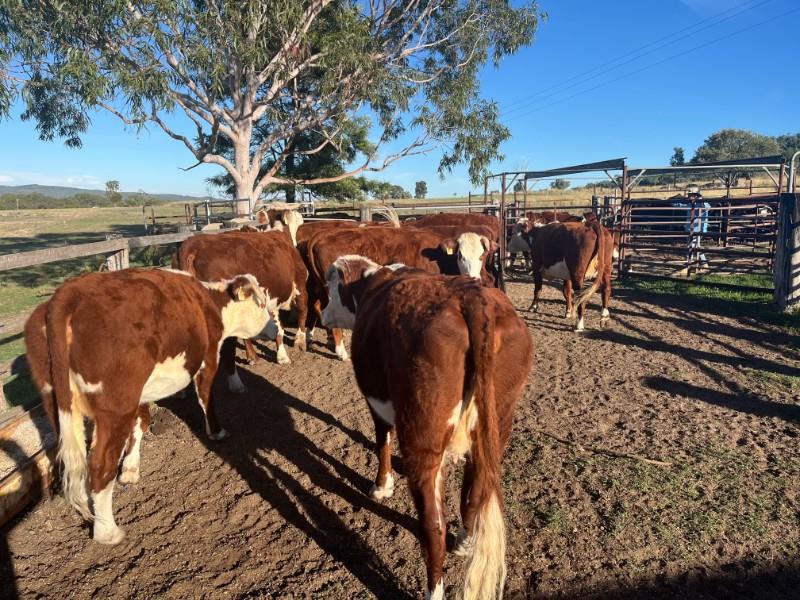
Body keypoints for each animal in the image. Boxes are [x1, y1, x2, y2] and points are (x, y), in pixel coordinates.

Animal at [23, 268, 276, 544]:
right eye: (261, 304)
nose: (274, 329)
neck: (211, 301)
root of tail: (68, 293)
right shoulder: (208, 358)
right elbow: (206, 396)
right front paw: (217, 431)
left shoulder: (141, 394)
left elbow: (141, 423)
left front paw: (130, 469)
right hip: (116, 406)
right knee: (99, 464)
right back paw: (108, 532)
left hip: (57, 404)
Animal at [175, 230, 308, 387]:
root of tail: (191, 246)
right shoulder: (299, 286)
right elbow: (301, 313)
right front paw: (300, 342)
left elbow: (277, 328)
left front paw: (281, 356)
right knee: (228, 348)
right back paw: (236, 383)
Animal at [320, 257, 533, 600]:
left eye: (330, 288)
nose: (323, 314)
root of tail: (472, 297)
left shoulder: (376, 401)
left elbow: (382, 441)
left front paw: (381, 486)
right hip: (498, 418)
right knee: (475, 488)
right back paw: (464, 541)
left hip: (423, 437)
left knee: (434, 525)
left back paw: (434, 589)